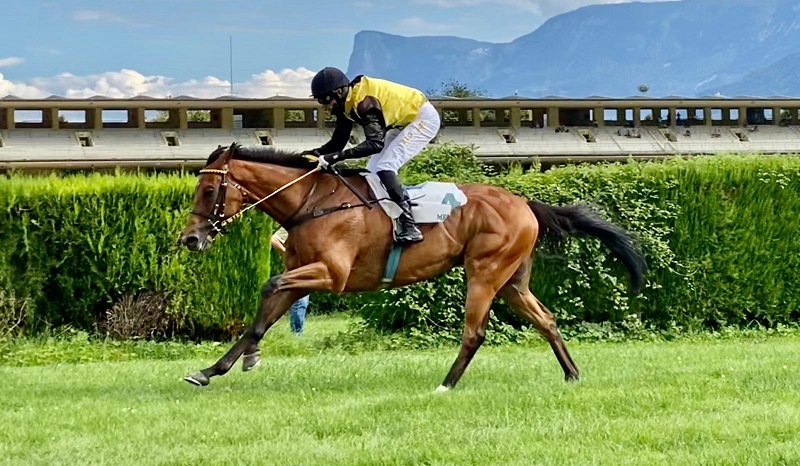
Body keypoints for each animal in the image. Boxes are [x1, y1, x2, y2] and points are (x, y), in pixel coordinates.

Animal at [178, 144, 648, 392]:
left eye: (208, 190)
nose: (190, 239)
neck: (311, 203)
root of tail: (524, 201)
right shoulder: (303, 276)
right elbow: (262, 316)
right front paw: (214, 369)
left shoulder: (331, 274)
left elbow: (270, 285)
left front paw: (243, 360)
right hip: (513, 280)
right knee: (546, 319)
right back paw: (571, 374)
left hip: (485, 272)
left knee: (474, 332)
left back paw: (446, 384)